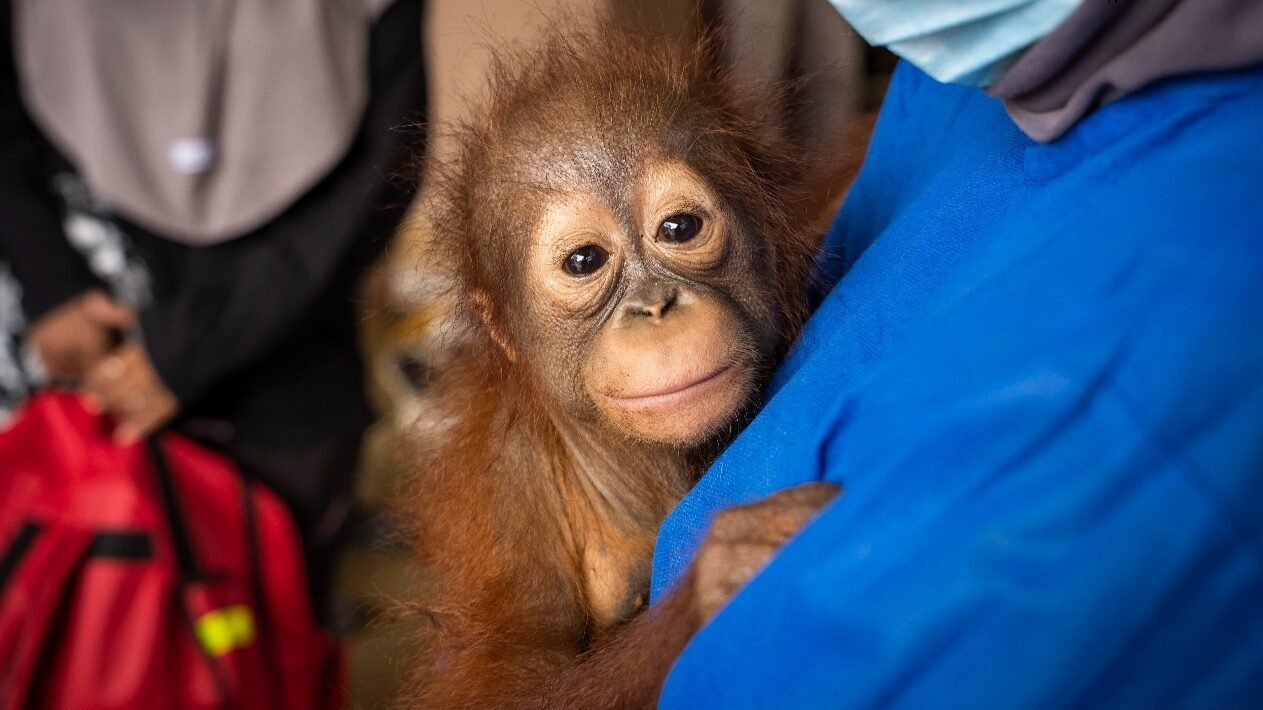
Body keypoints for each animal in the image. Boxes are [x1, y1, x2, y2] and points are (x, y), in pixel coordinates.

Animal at [400, 20, 845, 708]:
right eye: (584, 261)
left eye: (679, 228)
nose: (654, 306)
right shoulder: (508, 484)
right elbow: (508, 680)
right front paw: (721, 578)